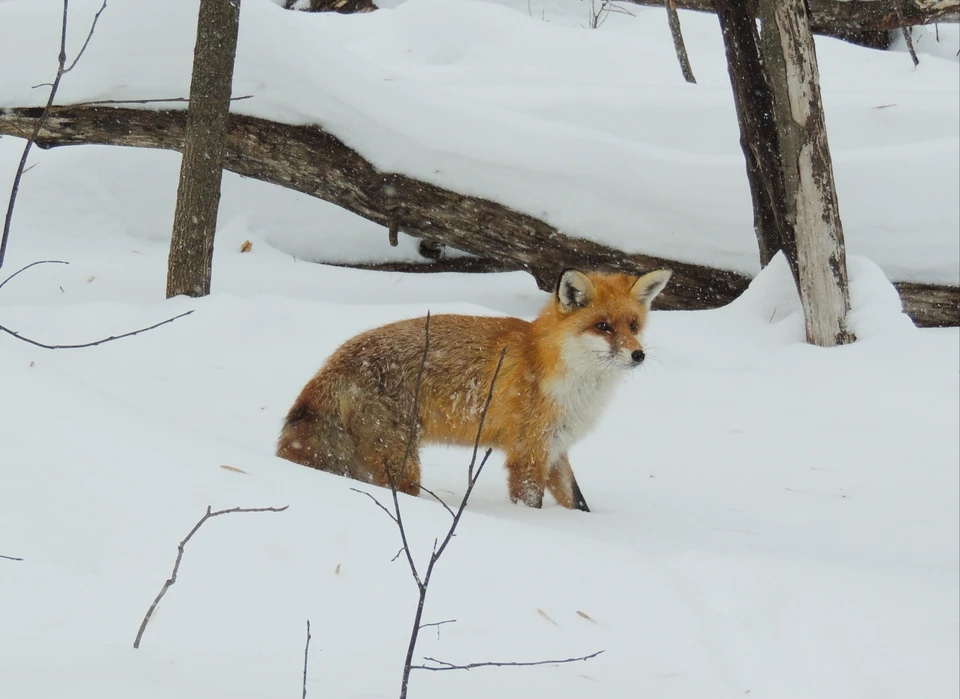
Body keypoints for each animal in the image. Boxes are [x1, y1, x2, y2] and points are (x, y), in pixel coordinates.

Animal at [274, 270, 672, 512]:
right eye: (603, 327)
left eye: (634, 325)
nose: (638, 354)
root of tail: (335, 361)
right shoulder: (528, 453)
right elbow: (531, 500)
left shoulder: (556, 447)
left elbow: (577, 502)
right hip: (401, 464)